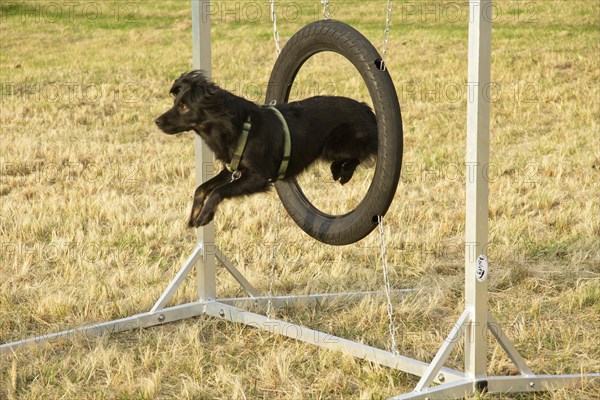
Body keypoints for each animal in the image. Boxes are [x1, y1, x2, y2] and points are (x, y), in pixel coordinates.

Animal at [157, 71, 378, 228]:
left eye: (184, 107)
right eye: (175, 103)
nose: (157, 121)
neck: (239, 126)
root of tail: (366, 108)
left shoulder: (258, 177)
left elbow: (218, 191)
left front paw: (205, 215)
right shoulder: (232, 170)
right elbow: (202, 188)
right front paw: (194, 215)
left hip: (334, 145)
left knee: (363, 152)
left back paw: (343, 171)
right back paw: (338, 170)